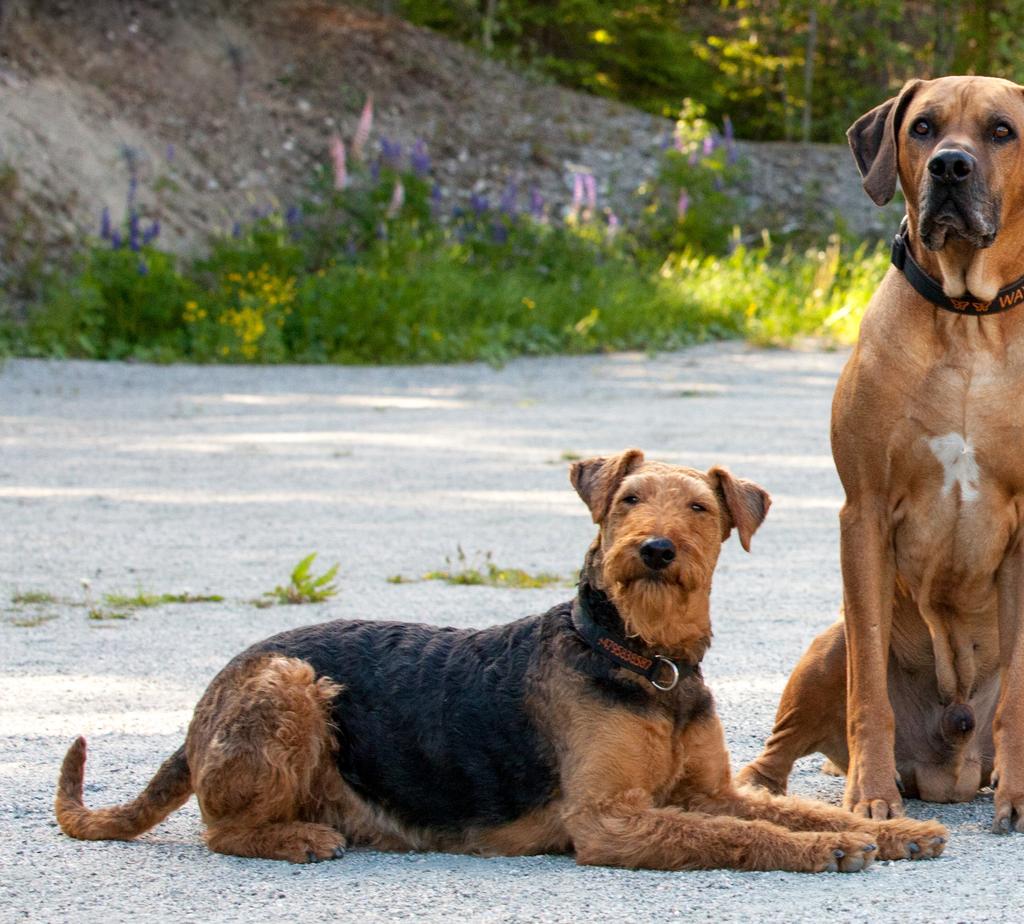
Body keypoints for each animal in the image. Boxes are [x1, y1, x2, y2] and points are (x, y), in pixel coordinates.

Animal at [741, 79, 1024, 831]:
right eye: (923, 127)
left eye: (1002, 131)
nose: (949, 167)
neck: (968, 320)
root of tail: (948, 766)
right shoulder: (863, 513)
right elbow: (868, 687)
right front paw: (870, 795)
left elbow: (1019, 694)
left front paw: (1019, 795)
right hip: (825, 645)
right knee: (780, 745)